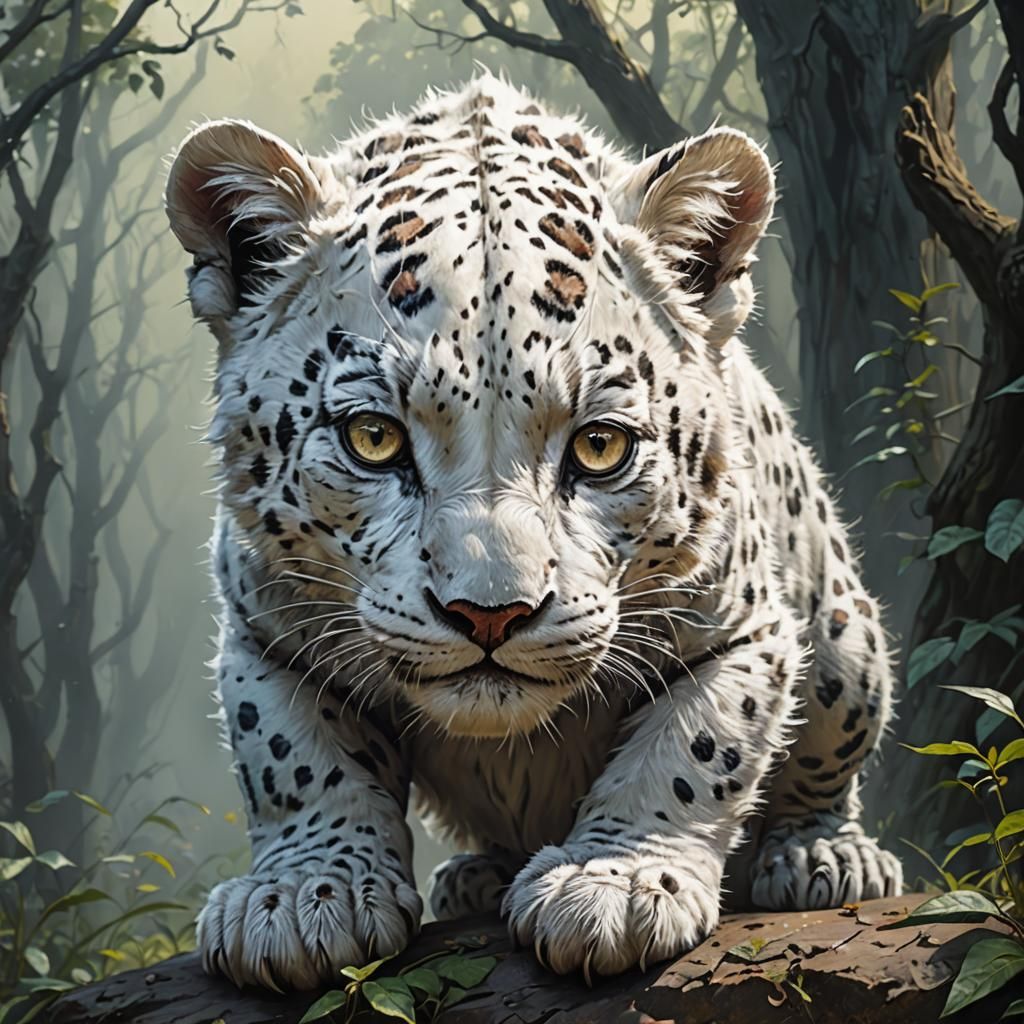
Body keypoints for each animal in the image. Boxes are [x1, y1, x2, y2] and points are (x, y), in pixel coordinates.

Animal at [164, 74, 902, 992]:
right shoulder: (265, 632)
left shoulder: (747, 630)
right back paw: (475, 878)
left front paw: (612, 887)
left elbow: (693, 749)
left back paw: (825, 859)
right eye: (372, 437)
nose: (491, 615)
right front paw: (305, 897)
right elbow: (296, 760)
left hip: (844, 645)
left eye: (600, 446)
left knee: (825, 765)